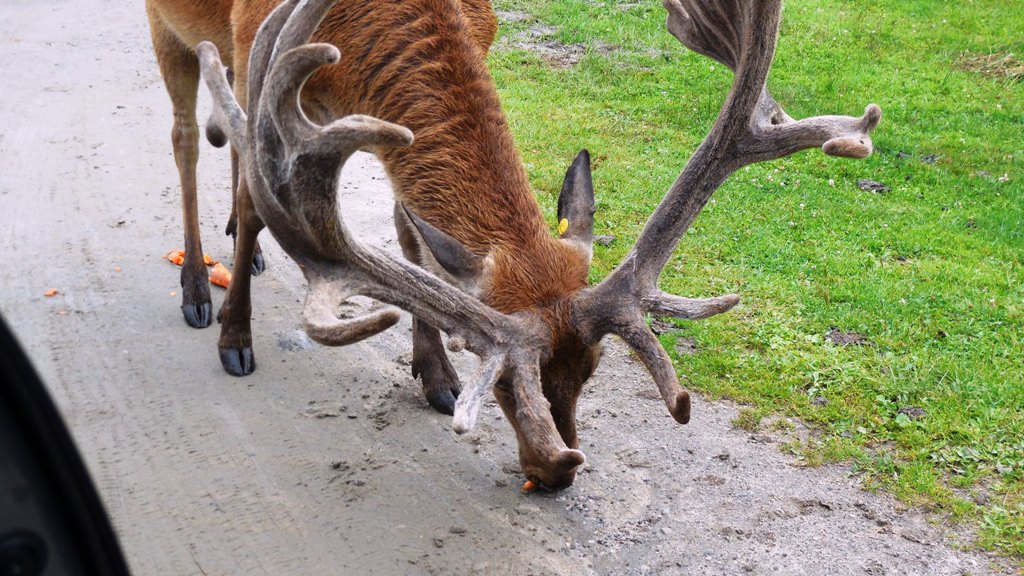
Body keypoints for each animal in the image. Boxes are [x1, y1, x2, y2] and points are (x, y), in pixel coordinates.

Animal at [151, 0, 880, 490]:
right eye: (499, 382)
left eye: (592, 370)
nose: (556, 471)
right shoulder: (253, 49)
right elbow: (257, 200)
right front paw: (235, 337)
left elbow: (410, 233)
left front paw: (434, 375)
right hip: (174, 36)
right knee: (188, 138)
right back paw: (197, 289)